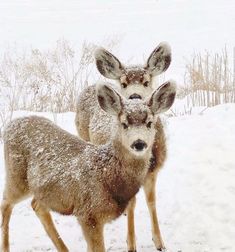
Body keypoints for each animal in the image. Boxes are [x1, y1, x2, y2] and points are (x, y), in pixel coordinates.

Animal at [0, 81, 176, 251]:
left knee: (36, 205)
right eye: (124, 123)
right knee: (6, 204)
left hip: (46, 190)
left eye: (149, 123)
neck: (107, 172)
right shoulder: (89, 214)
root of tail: (10, 126)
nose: (139, 143)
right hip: (17, 178)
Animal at [75, 42, 173, 250]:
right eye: (124, 83)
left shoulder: (154, 171)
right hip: (82, 134)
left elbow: (151, 202)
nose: (135, 96)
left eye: (146, 81)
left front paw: (159, 241)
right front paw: (131, 244)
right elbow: (133, 204)